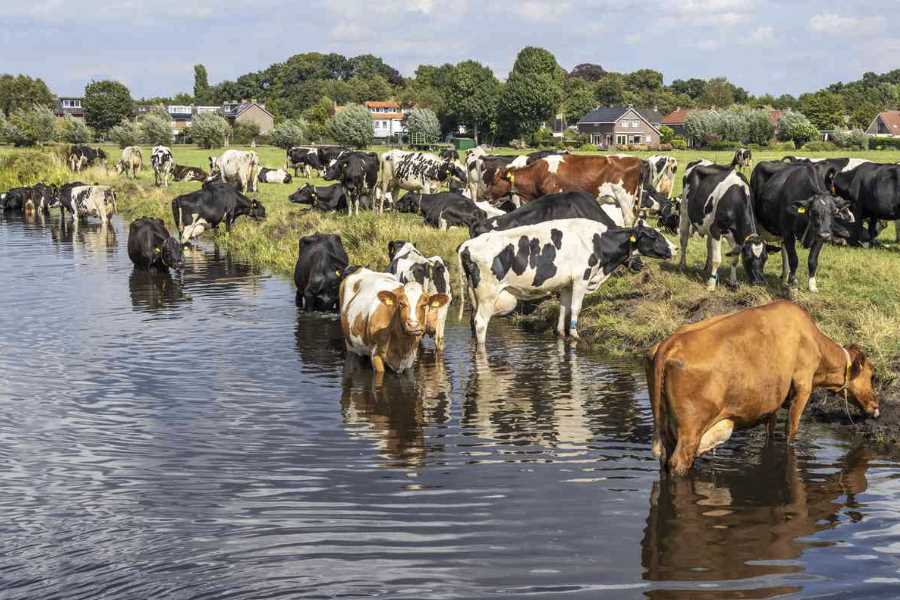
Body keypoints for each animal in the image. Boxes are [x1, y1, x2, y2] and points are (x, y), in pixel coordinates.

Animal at [458, 218, 676, 344]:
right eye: (653, 235)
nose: (674, 248)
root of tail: (467, 245)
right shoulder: (581, 278)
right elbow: (576, 308)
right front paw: (575, 335)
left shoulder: (566, 284)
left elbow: (564, 307)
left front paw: (561, 333)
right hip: (488, 293)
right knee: (480, 323)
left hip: (474, 294)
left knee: (472, 322)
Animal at [648, 300, 880, 478]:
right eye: (872, 375)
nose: (876, 406)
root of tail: (669, 343)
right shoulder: (803, 388)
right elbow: (791, 431)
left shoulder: (773, 402)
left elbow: (770, 432)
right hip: (691, 431)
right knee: (678, 463)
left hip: (666, 428)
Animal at [748, 162, 856, 292]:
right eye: (813, 211)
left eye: (834, 211)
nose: (826, 235)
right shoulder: (788, 232)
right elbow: (794, 259)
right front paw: (793, 283)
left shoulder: (819, 236)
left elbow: (812, 261)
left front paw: (812, 286)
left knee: (784, 252)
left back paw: (784, 277)